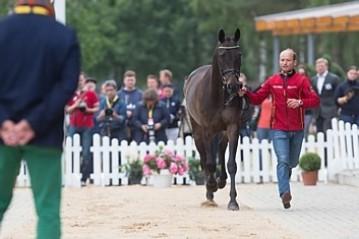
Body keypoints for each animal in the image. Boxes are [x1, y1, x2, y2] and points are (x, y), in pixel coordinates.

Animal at [184, 28, 249, 211]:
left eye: (239, 54)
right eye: (221, 55)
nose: (233, 86)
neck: (218, 95)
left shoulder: (233, 127)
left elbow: (232, 164)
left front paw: (233, 201)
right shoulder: (207, 130)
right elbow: (210, 162)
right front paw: (211, 186)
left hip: (223, 131)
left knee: (220, 148)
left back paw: (221, 180)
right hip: (198, 131)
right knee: (204, 158)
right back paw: (210, 191)